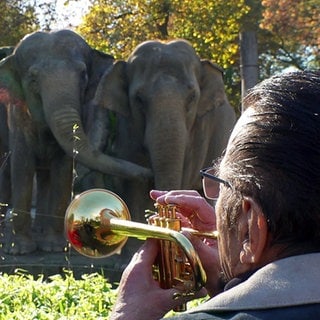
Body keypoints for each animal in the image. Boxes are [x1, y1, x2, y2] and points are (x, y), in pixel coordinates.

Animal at [0, 30, 152, 255]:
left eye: (83, 75)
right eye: (33, 78)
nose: (148, 174)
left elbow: (62, 169)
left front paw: (53, 247)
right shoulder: (17, 114)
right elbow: (22, 165)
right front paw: (20, 250)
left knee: (45, 177)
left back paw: (40, 231)